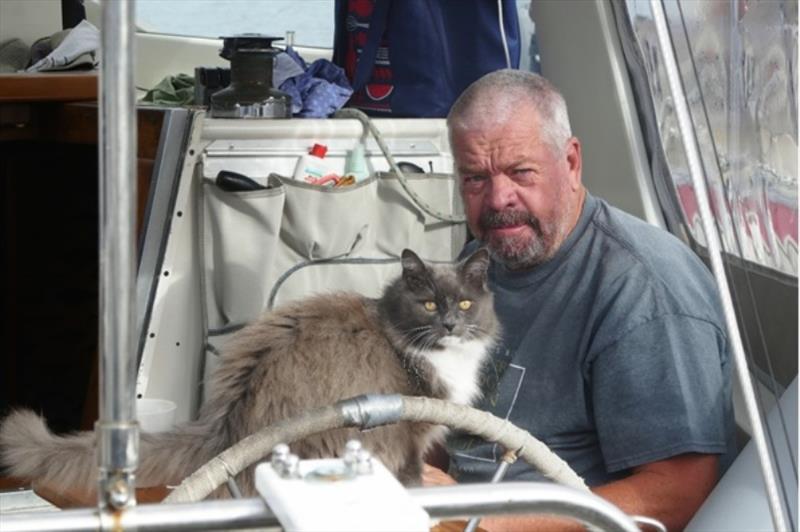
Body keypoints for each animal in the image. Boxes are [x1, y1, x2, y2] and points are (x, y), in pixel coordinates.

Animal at [0, 249, 496, 498]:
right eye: (428, 304)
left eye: (464, 304)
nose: (449, 325)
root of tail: (226, 426)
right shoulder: (410, 436)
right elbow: (412, 476)